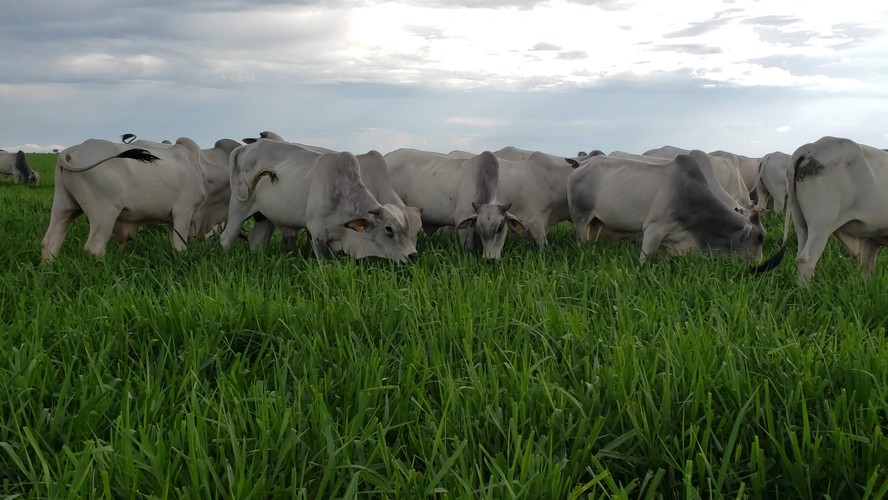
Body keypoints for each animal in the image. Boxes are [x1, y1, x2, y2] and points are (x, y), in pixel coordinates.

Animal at [41, 138, 232, 262]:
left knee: (49, 243)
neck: (202, 171)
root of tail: (75, 149)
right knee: (94, 249)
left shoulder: (171, 220)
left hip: (63, 207)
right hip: (105, 214)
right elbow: (181, 247)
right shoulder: (183, 211)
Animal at [220, 141, 418, 264]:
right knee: (226, 238)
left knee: (256, 242)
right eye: (389, 229)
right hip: (239, 207)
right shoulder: (316, 230)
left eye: (408, 229)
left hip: (265, 216)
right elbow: (323, 260)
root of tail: (245, 147)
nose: (413, 255)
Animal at [568, 154, 764, 266]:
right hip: (581, 218)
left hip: (596, 222)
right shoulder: (654, 228)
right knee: (581, 241)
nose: (760, 263)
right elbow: (644, 261)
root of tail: (579, 166)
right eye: (760, 238)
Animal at [752, 137, 888, 282]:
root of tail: (812, 146)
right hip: (820, 224)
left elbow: (866, 267)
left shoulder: (872, 238)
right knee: (807, 258)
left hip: (799, 220)